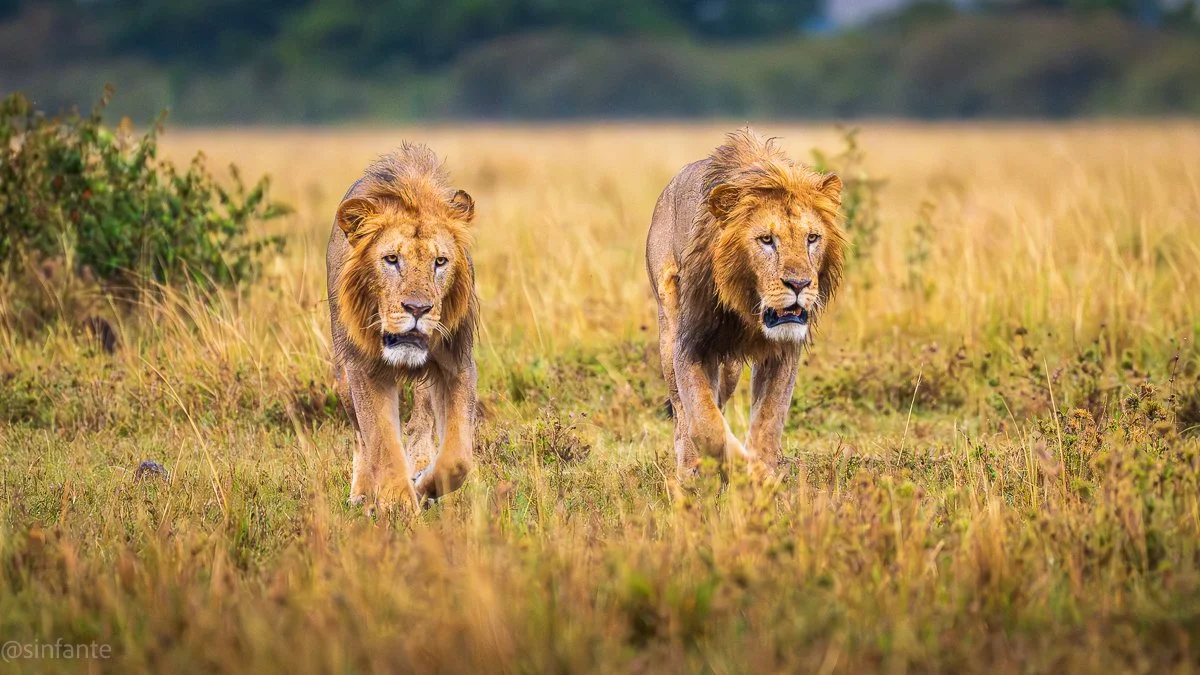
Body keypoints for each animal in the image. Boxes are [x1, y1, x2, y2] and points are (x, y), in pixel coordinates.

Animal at [327, 143, 478, 510]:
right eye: (391, 259)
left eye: (440, 261)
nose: (418, 309)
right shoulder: (363, 368)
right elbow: (380, 442)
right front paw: (397, 504)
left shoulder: (458, 363)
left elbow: (457, 458)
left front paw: (422, 486)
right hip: (342, 379)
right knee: (360, 437)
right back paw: (362, 494)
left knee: (420, 424)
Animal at [645, 128, 846, 474]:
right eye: (766, 240)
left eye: (812, 238)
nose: (799, 284)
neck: (748, 306)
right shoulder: (690, 344)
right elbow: (704, 423)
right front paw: (736, 466)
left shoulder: (783, 352)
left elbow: (769, 419)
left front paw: (760, 472)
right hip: (668, 332)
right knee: (682, 414)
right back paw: (689, 470)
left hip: (730, 368)